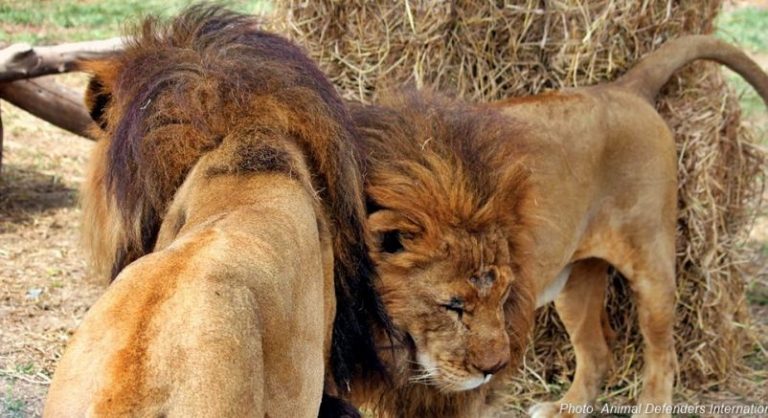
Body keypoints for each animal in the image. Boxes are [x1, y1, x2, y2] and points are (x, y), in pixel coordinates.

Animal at [346, 36, 768, 417]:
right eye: (452, 305)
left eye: (504, 295)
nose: (494, 369)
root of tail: (623, 88)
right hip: (575, 279)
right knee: (597, 353)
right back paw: (566, 408)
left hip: (652, 263)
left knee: (663, 351)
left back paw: (651, 409)